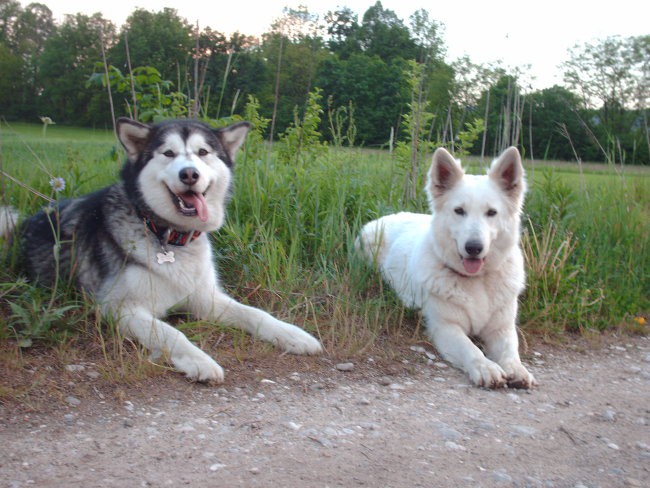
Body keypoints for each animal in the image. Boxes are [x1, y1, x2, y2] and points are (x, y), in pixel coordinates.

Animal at [0, 118, 322, 382]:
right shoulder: (118, 308)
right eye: (168, 153)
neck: (168, 235)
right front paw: (200, 361)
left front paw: (293, 334)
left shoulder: (206, 299)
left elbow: (256, 314)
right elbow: (171, 332)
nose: (189, 174)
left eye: (203, 152)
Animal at [356, 146, 536, 388]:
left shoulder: (502, 328)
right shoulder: (446, 327)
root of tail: (387, 216)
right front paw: (486, 367)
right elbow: (471, 349)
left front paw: (517, 369)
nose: (473, 247)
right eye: (459, 211)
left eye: (491, 212)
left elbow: (510, 351)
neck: (476, 280)